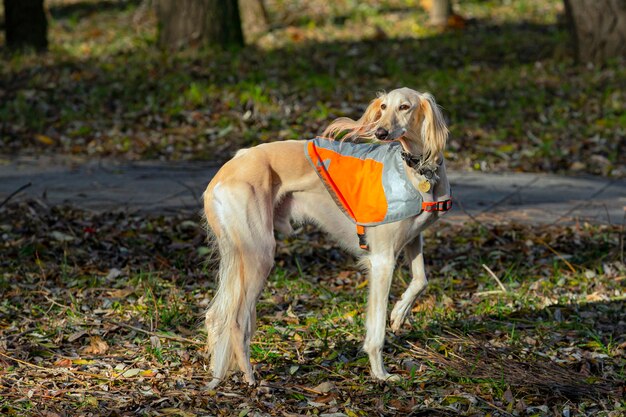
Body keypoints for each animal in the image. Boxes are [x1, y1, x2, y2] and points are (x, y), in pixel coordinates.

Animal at [202, 87, 450, 386]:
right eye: (383, 107)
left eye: (404, 107)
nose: (380, 132)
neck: (416, 169)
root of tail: (221, 174)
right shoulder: (382, 261)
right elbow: (376, 330)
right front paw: (380, 373)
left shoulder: (412, 239)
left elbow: (421, 280)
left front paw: (400, 313)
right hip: (258, 254)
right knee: (236, 321)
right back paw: (250, 378)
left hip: (242, 255)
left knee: (217, 316)